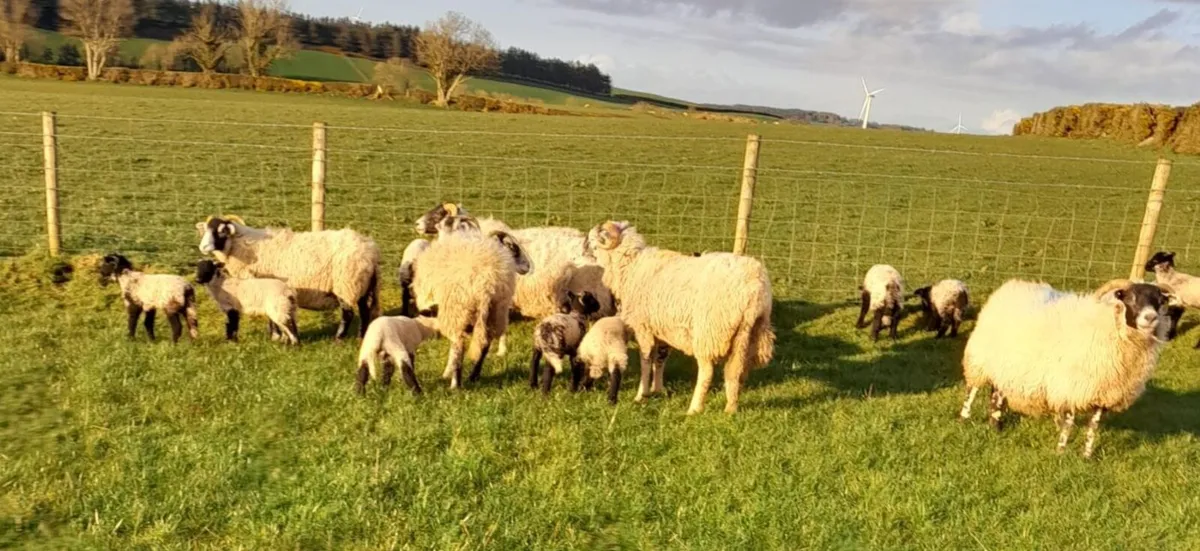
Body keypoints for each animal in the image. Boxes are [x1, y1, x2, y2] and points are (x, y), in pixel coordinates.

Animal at [196, 215, 380, 340]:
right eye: (205, 230)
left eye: (222, 231)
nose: (202, 247)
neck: (244, 246)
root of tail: (371, 250)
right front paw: (278, 336)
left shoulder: (266, 284)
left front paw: (276, 336)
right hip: (363, 285)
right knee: (364, 311)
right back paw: (361, 336)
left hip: (346, 284)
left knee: (348, 313)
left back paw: (339, 338)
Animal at [409, 226, 532, 389]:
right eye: (513, 247)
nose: (528, 267)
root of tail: (487, 282)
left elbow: (454, 348)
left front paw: (447, 372)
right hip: (496, 310)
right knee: (485, 344)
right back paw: (474, 375)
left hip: (457, 308)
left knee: (459, 345)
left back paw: (455, 384)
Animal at [582, 220, 775, 414]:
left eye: (593, 243)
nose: (583, 252)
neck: (631, 266)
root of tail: (753, 288)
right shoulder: (662, 328)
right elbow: (659, 360)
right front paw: (657, 389)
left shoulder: (643, 327)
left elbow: (646, 360)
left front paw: (641, 394)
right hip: (750, 333)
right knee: (736, 371)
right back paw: (731, 408)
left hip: (709, 331)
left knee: (707, 371)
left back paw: (694, 409)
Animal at [958, 278, 1172, 458]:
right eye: (1130, 297)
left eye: (1159, 300)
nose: (1151, 318)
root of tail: (1014, 285)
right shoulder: (1071, 388)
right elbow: (1069, 424)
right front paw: (1061, 451)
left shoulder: (1102, 394)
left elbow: (1093, 427)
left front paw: (1087, 456)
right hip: (980, 360)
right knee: (972, 391)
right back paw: (965, 418)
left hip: (1006, 366)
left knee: (997, 395)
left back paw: (996, 426)